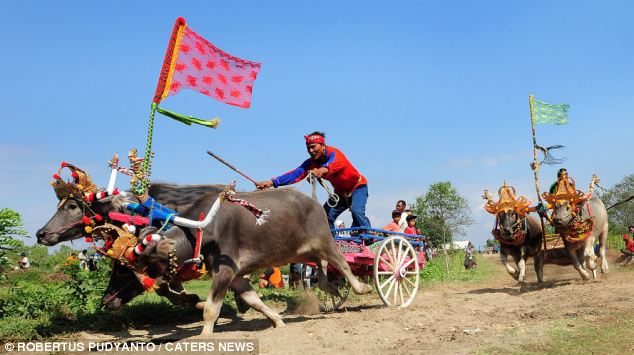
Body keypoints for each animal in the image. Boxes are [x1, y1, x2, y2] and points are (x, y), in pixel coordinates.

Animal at [101, 188, 372, 338]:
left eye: (124, 270)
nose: (106, 301)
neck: (201, 232)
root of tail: (314, 202)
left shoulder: (224, 271)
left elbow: (211, 308)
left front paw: (204, 334)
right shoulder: (237, 277)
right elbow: (254, 301)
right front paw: (278, 320)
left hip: (323, 240)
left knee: (341, 263)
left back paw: (362, 287)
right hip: (298, 253)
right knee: (321, 269)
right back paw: (331, 288)